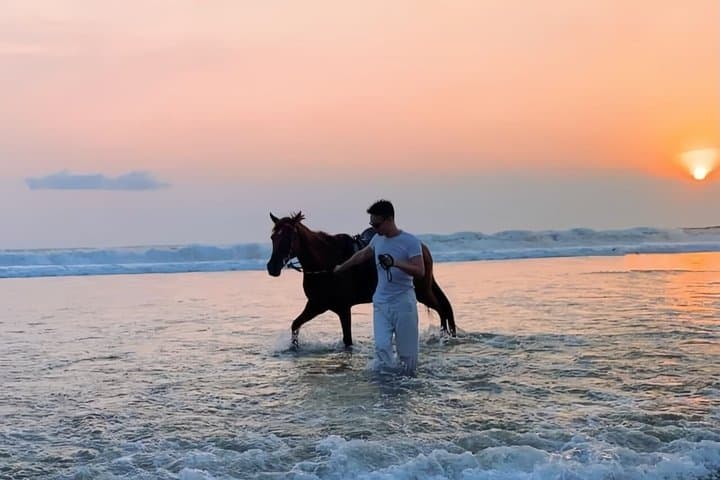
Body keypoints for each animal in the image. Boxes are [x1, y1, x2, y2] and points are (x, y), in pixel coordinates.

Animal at [266, 211, 456, 348]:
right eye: (273, 237)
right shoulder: (316, 305)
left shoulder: (342, 309)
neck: (326, 263)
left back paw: (444, 337)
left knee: (441, 309)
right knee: (443, 308)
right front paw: (293, 347)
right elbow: (295, 325)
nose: (272, 267)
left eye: (288, 237)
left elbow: (347, 340)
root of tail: (422, 248)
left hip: (422, 292)